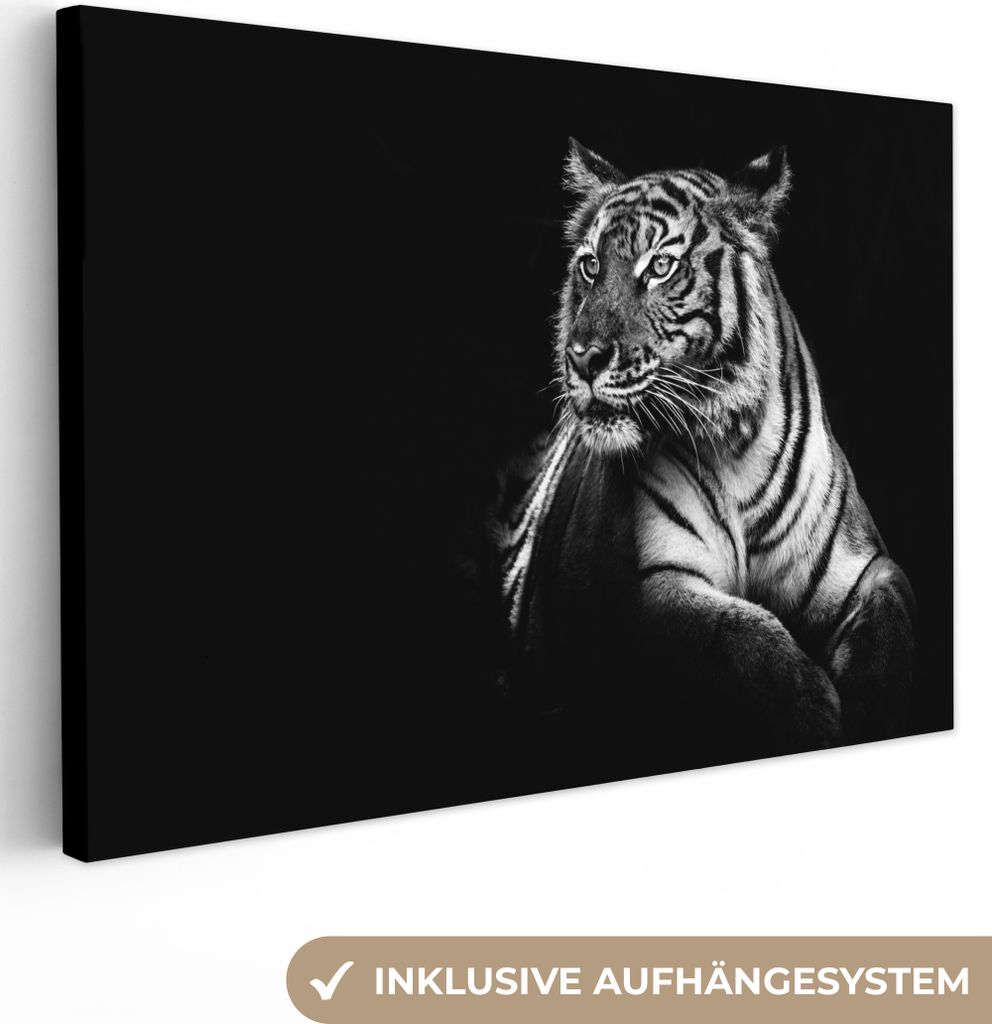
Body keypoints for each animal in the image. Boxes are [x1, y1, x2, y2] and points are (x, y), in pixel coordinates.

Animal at [496, 139, 915, 763]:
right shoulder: (653, 582)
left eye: (660, 267)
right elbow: (739, 634)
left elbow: (891, 622)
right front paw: (811, 712)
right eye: (591, 266)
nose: (582, 356)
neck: (735, 446)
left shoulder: (863, 567)